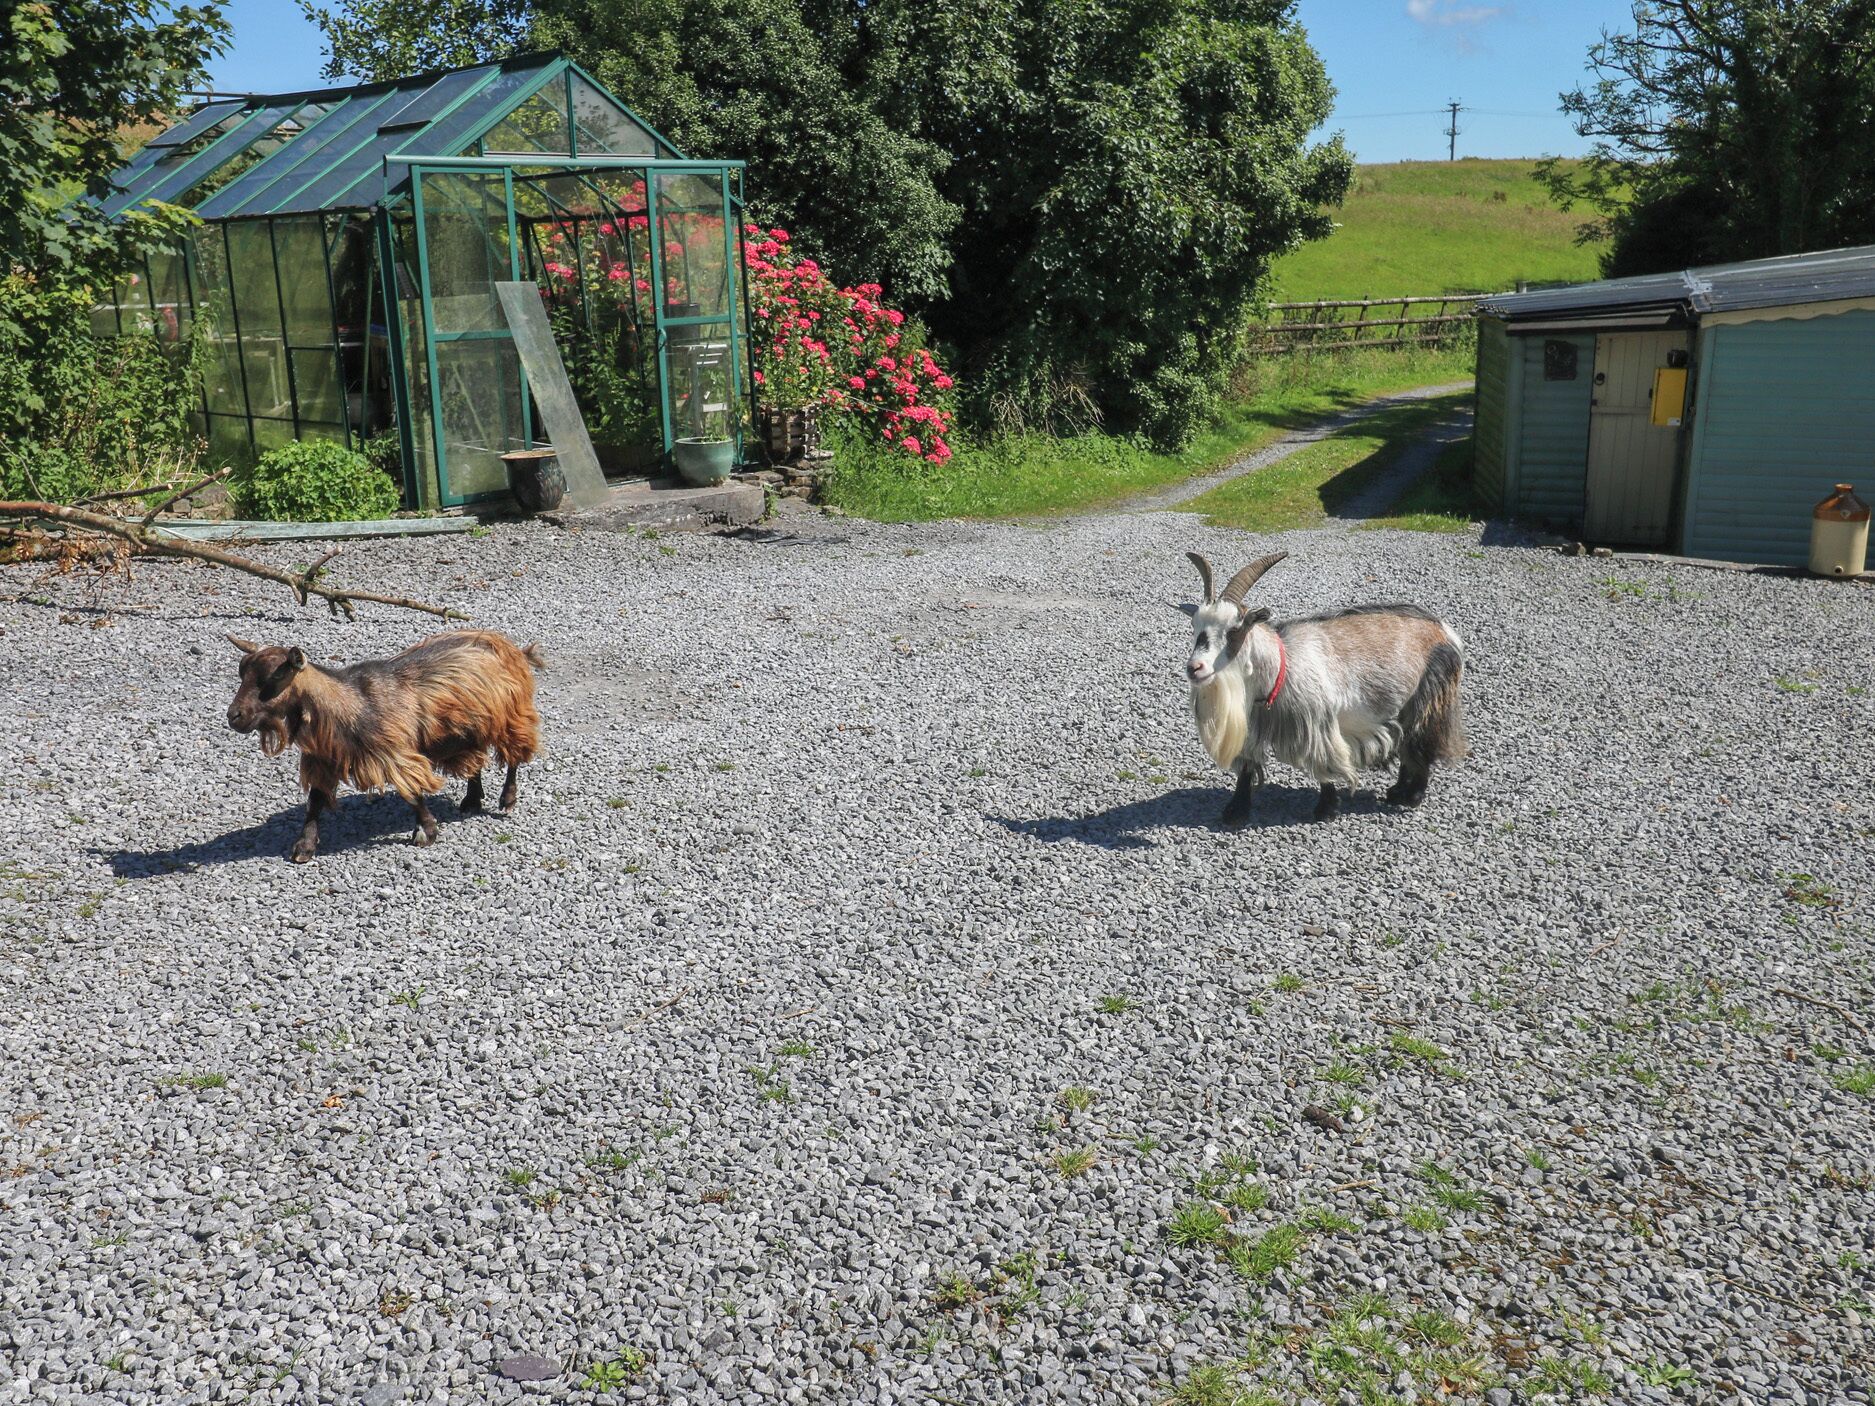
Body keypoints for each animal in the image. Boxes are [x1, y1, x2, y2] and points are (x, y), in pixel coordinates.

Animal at [225, 630, 545, 862]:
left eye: (276, 675)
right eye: (242, 673)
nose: (234, 716)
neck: (351, 703)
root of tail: (514, 649)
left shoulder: (395, 753)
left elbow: (412, 791)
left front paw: (426, 831)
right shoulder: (324, 759)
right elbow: (315, 800)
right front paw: (304, 846)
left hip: (512, 715)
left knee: (514, 757)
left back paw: (507, 799)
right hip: (467, 730)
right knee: (474, 761)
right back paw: (471, 799)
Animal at [1182, 550, 1465, 824]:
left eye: (1234, 630)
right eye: (1195, 627)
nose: (1195, 668)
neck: (1282, 665)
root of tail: (1445, 631)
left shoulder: (1317, 723)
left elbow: (1325, 764)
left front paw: (1326, 809)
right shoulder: (1254, 723)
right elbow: (1247, 765)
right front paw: (1236, 810)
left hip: (1429, 696)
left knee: (1421, 742)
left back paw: (1412, 796)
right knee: (1407, 741)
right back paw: (1397, 792)